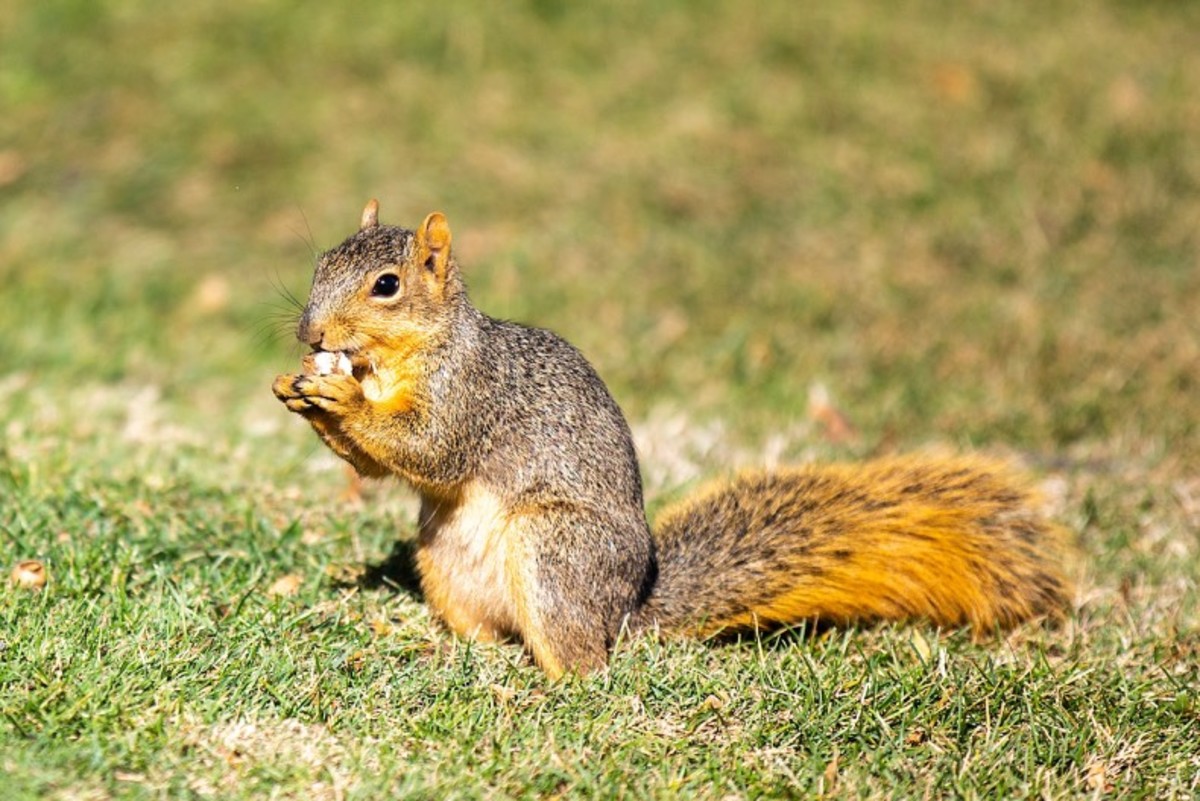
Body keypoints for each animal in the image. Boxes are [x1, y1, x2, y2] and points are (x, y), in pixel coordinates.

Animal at [276, 199, 1075, 676]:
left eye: (386, 285)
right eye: (320, 263)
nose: (310, 334)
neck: (403, 356)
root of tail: (627, 612)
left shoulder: (471, 395)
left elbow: (429, 447)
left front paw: (336, 395)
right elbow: (377, 469)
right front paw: (301, 391)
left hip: (555, 552)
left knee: (582, 661)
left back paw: (547, 681)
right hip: (442, 560)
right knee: (490, 633)